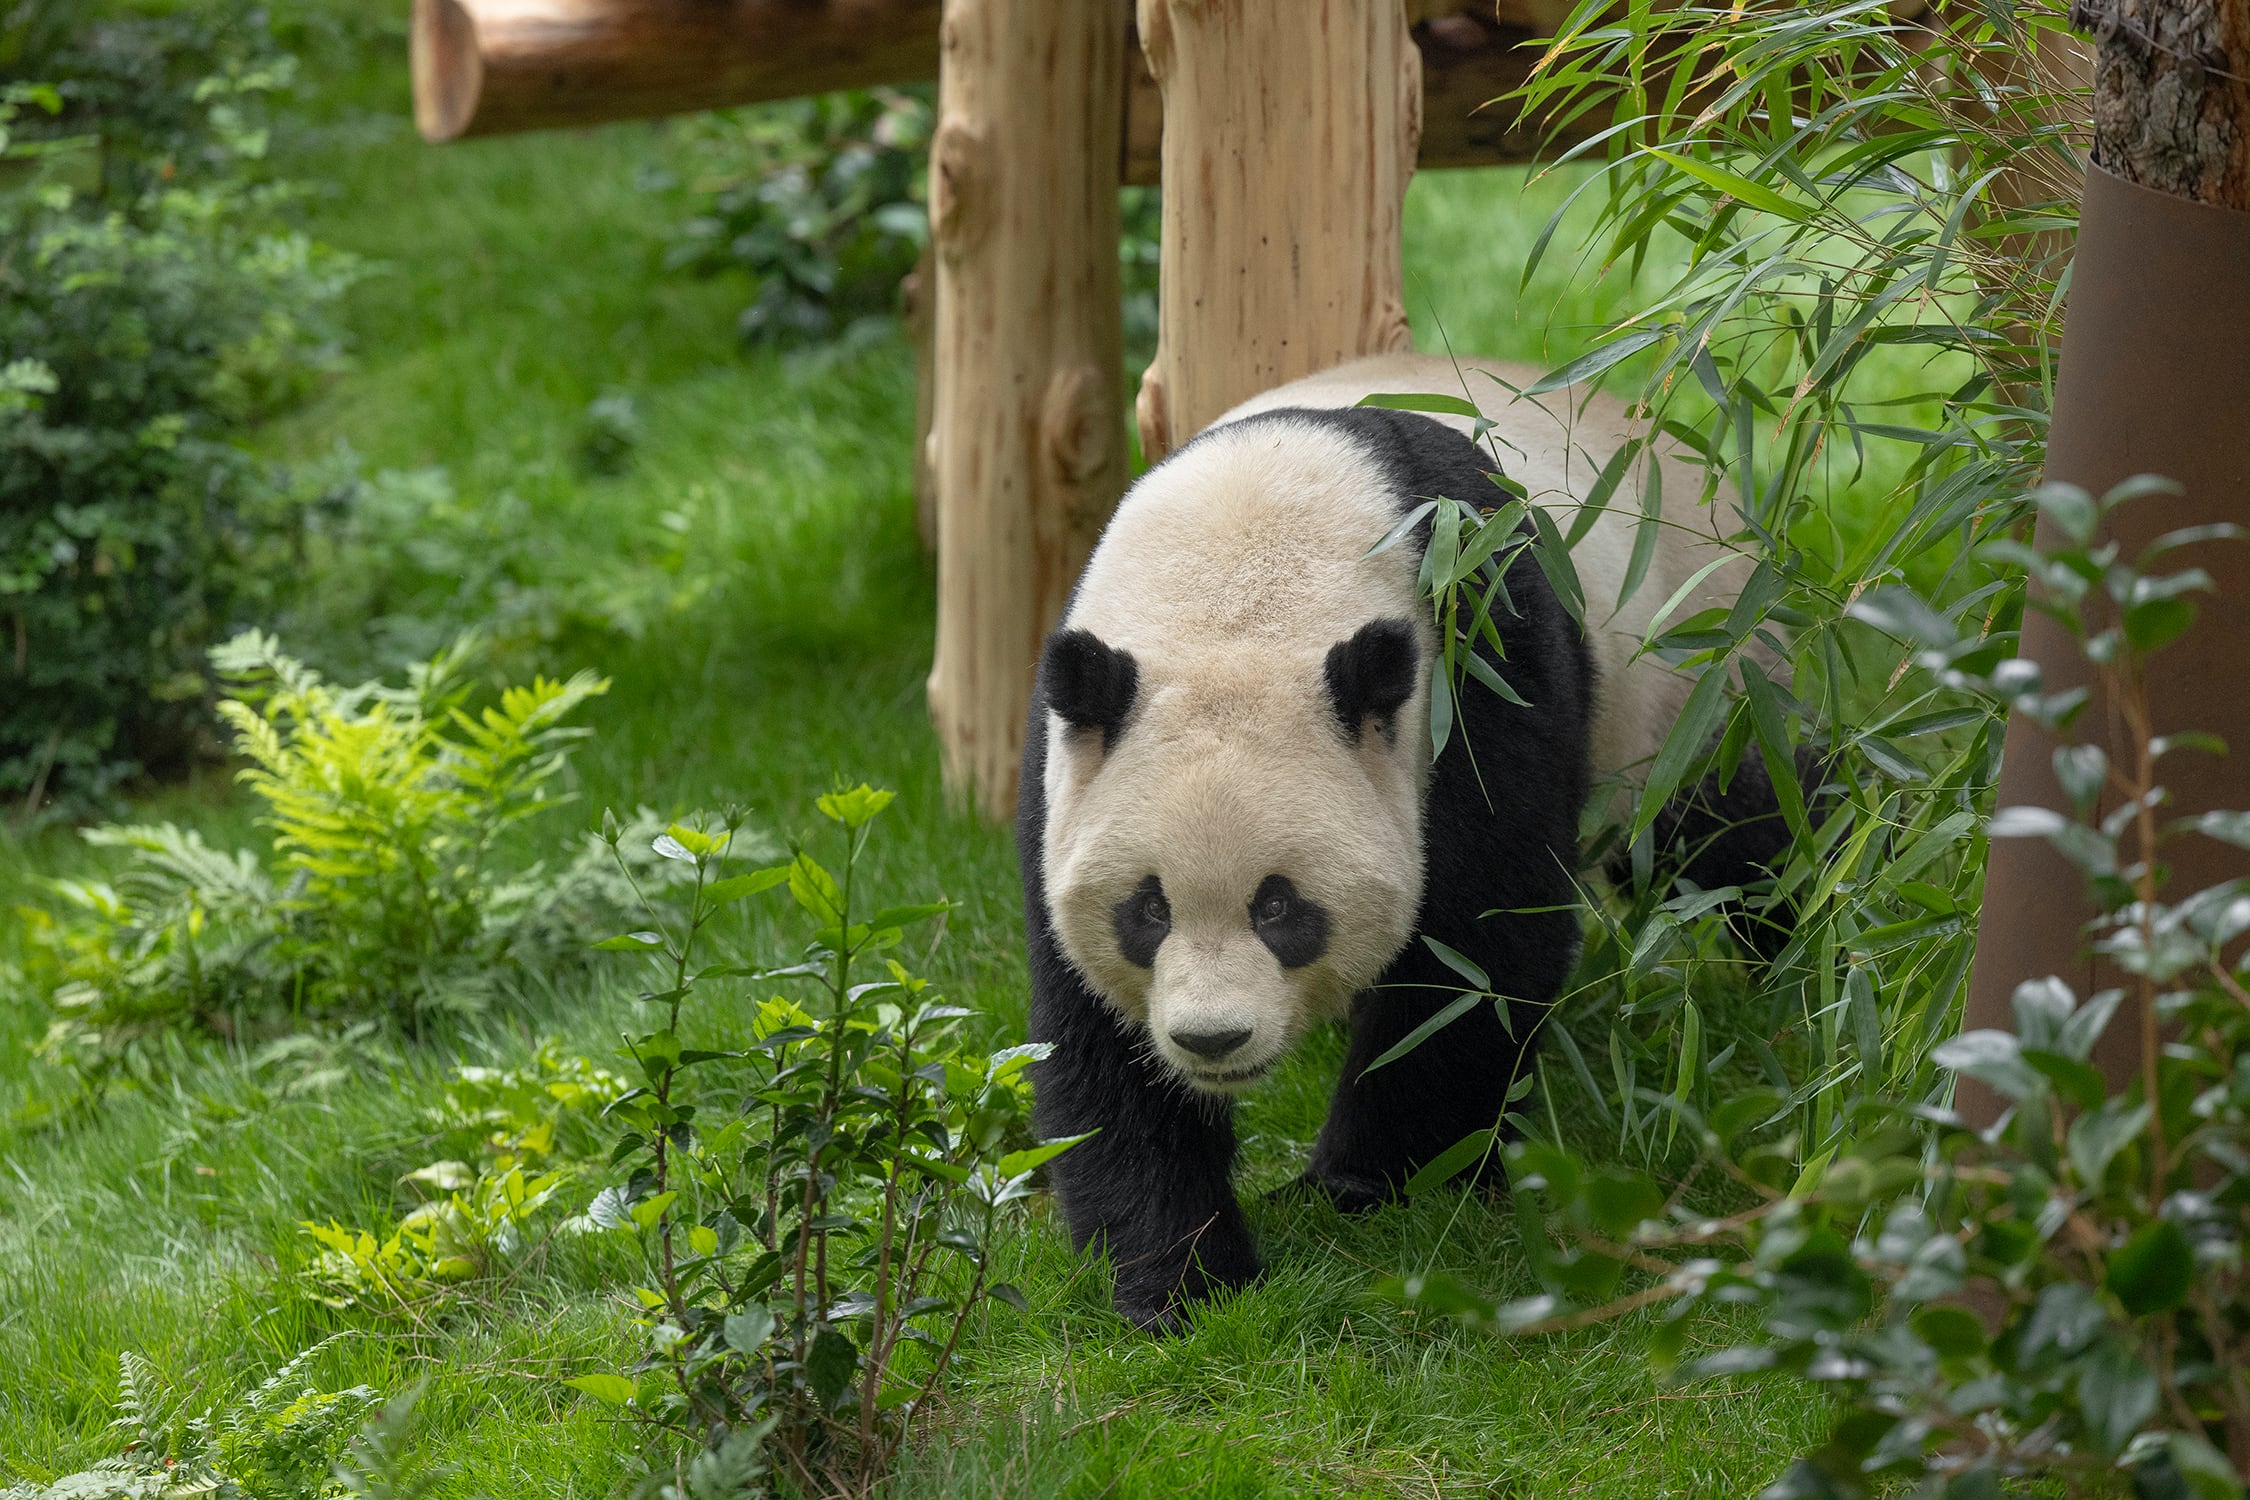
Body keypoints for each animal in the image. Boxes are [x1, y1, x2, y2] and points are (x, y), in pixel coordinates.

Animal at [1017, 348, 1773, 1322]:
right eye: (1148, 910)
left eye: (1279, 908)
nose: (1213, 1041)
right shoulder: (1067, 759)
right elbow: (1096, 1033)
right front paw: (1177, 1279)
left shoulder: (1476, 654)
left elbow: (1476, 952)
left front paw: (1370, 1187)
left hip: (1695, 679)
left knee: (1742, 829)